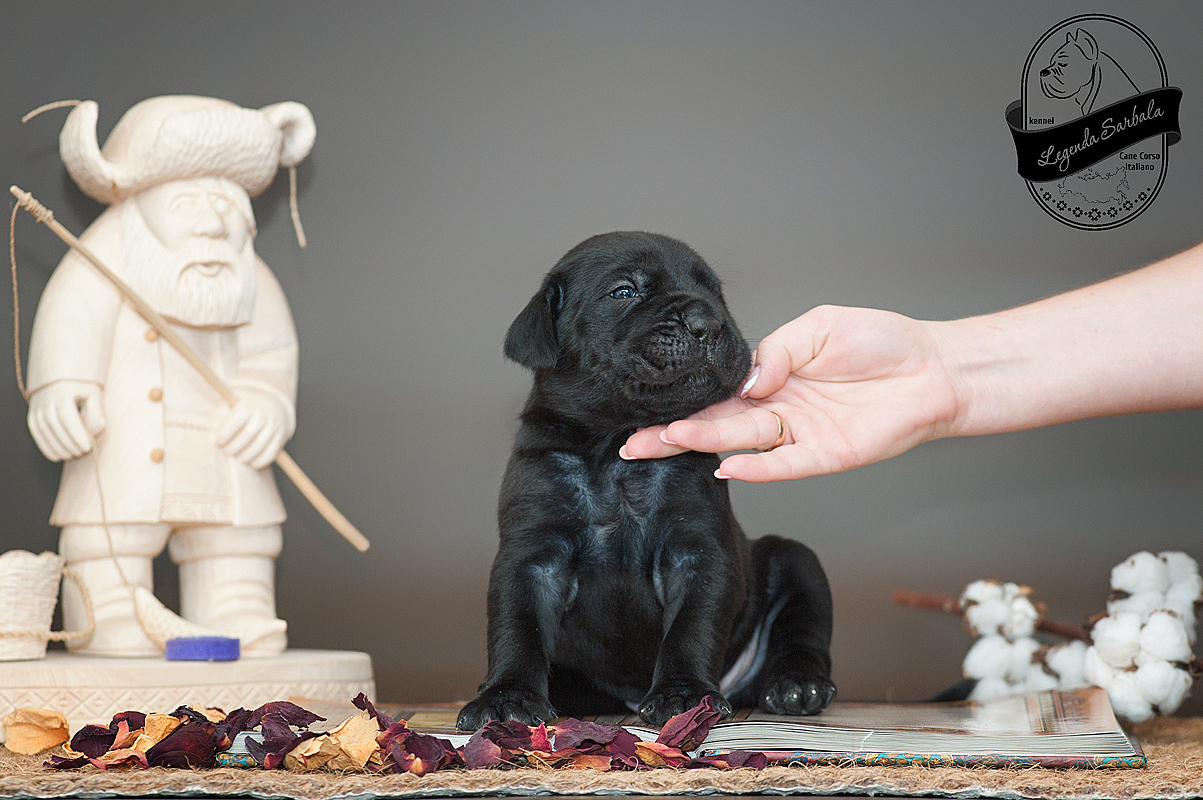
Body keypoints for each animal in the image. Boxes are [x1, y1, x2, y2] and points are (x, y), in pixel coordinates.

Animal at [459, 232, 837, 731]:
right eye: (624, 291)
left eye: (714, 292)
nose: (708, 322)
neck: (617, 450)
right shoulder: (530, 555)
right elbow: (516, 627)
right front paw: (505, 697)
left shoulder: (698, 552)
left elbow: (690, 628)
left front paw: (684, 694)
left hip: (796, 562)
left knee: (802, 634)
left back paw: (797, 685)